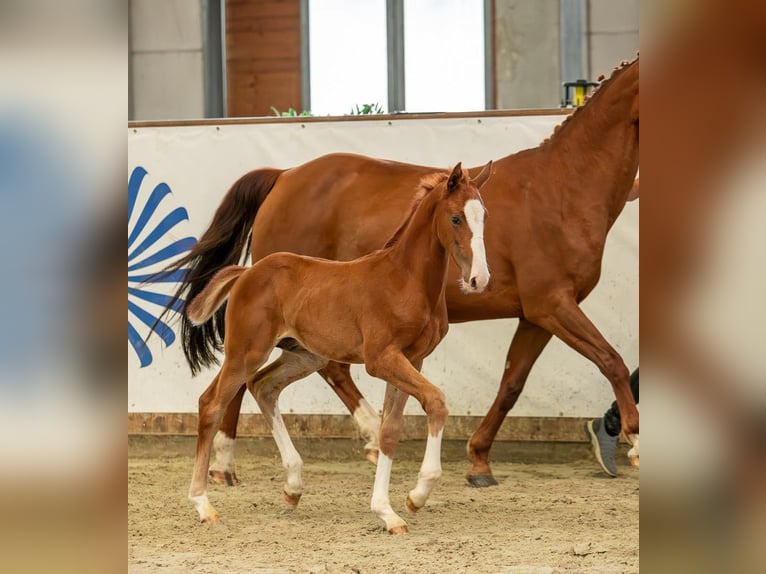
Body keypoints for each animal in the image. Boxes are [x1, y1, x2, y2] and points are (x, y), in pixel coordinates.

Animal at [186, 163, 492, 536]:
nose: (479, 279)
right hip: (246, 351)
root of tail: (248, 271)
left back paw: (293, 486)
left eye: (484, 216)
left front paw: (389, 511)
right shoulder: (382, 359)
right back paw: (203, 505)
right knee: (212, 403)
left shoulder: (412, 359)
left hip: (304, 355)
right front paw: (416, 496)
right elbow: (435, 401)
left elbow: (390, 431)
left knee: (263, 387)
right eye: (455, 218)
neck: (406, 280)